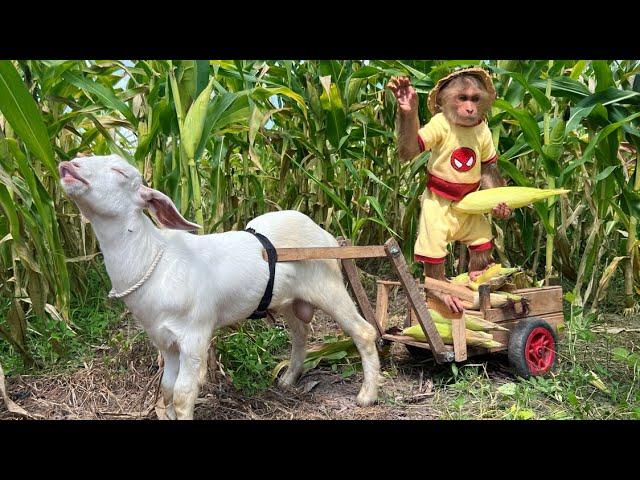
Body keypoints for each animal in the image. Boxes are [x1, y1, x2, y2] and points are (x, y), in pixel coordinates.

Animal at [57, 155, 380, 420]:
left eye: (120, 171)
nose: (69, 165)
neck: (155, 258)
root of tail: (324, 233)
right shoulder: (164, 341)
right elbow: (167, 388)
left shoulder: (195, 335)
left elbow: (183, 394)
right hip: (289, 300)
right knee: (301, 333)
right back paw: (289, 379)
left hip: (328, 285)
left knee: (364, 332)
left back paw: (367, 396)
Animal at [388, 69, 512, 314]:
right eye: (462, 98)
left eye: (474, 98)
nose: (470, 109)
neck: (462, 126)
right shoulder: (436, 125)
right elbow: (412, 148)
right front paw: (406, 102)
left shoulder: (486, 138)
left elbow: (487, 167)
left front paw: (501, 208)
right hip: (433, 223)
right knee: (433, 254)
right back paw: (441, 291)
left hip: (474, 225)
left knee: (481, 243)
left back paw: (477, 275)